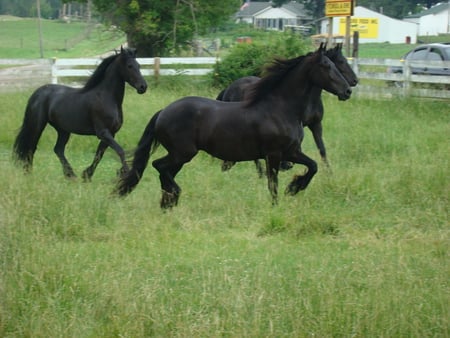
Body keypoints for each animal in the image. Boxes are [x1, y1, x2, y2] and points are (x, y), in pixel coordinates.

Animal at [13, 46, 147, 182]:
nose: (143, 87)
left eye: (139, 65)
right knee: (31, 147)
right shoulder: (103, 132)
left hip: (63, 130)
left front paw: (87, 175)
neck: (106, 98)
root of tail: (38, 93)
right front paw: (126, 173)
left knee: (58, 149)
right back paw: (28, 172)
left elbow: (99, 155)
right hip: (38, 125)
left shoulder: (110, 133)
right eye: (130, 66)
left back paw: (70, 175)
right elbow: (120, 151)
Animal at [216, 43, 356, 174]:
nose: (350, 88)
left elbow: (322, 148)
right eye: (339, 62)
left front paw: (329, 173)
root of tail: (229, 88)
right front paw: (285, 164)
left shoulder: (316, 124)